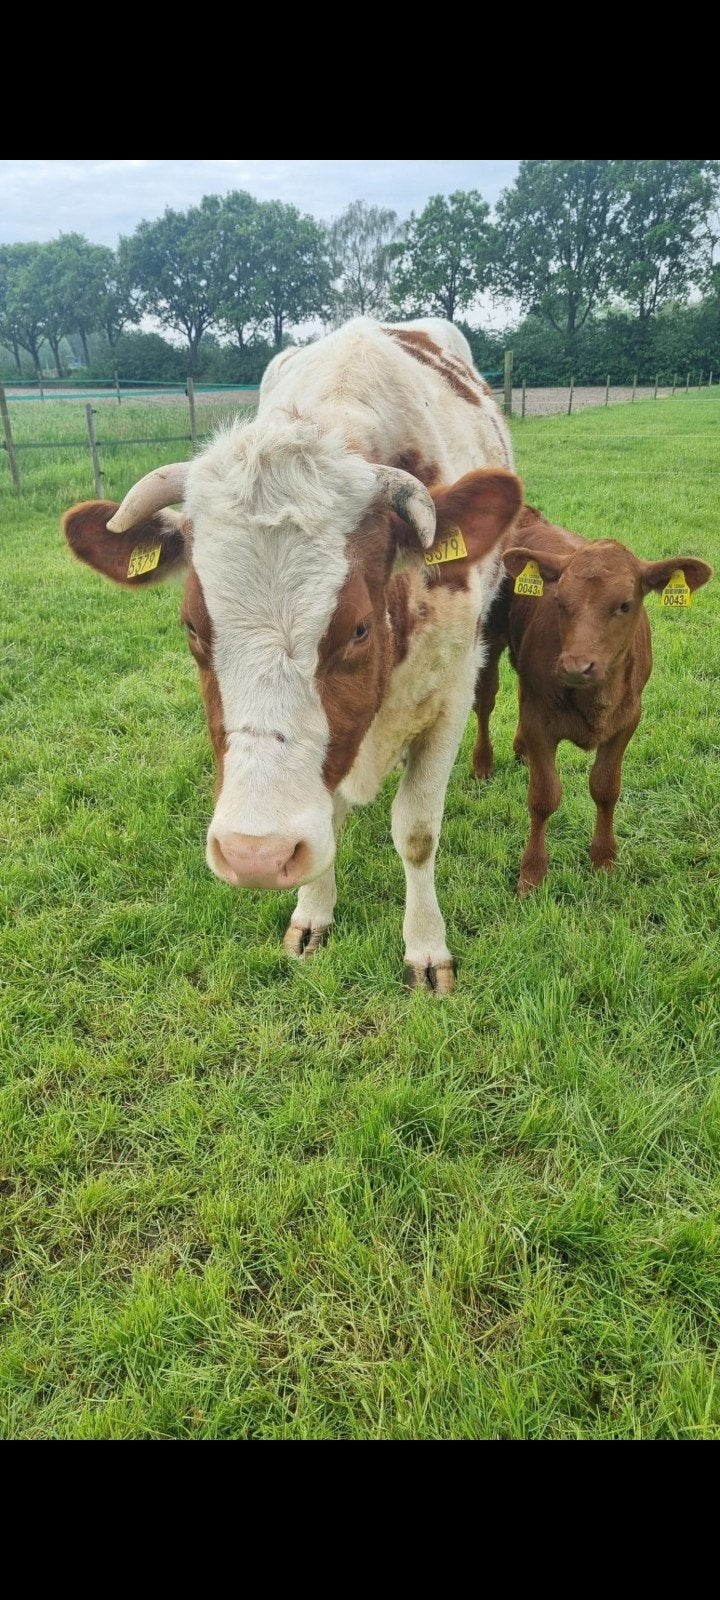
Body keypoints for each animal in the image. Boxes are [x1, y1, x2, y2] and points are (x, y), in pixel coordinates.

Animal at [62, 317, 522, 993]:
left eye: (358, 628)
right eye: (192, 626)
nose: (256, 855)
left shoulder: (450, 696)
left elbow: (416, 832)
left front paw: (425, 946)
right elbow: (329, 819)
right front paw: (313, 913)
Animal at [472, 515, 712, 894]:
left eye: (625, 604)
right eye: (559, 601)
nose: (575, 666)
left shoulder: (628, 719)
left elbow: (606, 788)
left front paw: (603, 861)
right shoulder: (539, 720)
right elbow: (543, 796)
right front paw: (532, 873)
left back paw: (522, 749)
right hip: (489, 636)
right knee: (485, 700)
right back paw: (483, 764)